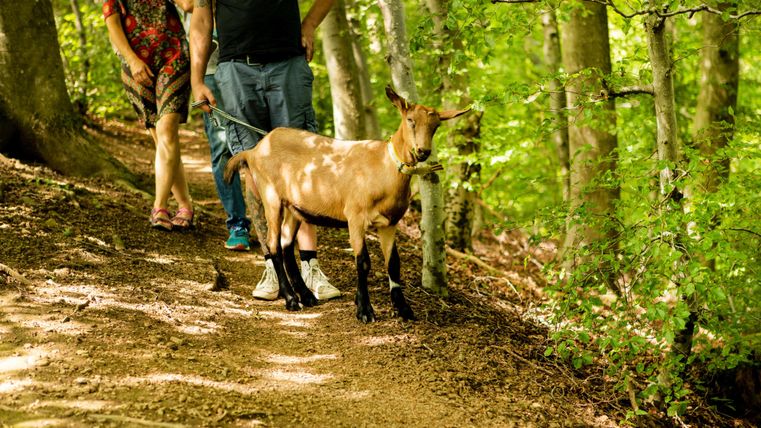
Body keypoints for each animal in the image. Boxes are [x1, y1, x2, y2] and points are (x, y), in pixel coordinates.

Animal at [224, 86, 469, 322]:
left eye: (436, 125)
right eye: (410, 119)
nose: (423, 151)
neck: (384, 167)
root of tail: (254, 150)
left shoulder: (389, 223)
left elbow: (393, 263)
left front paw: (403, 309)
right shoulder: (356, 216)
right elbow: (363, 262)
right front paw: (364, 310)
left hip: (295, 206)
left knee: (285, 244)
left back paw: (306, 296)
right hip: (270, 195)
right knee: (273, 244)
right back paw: (291, 299)